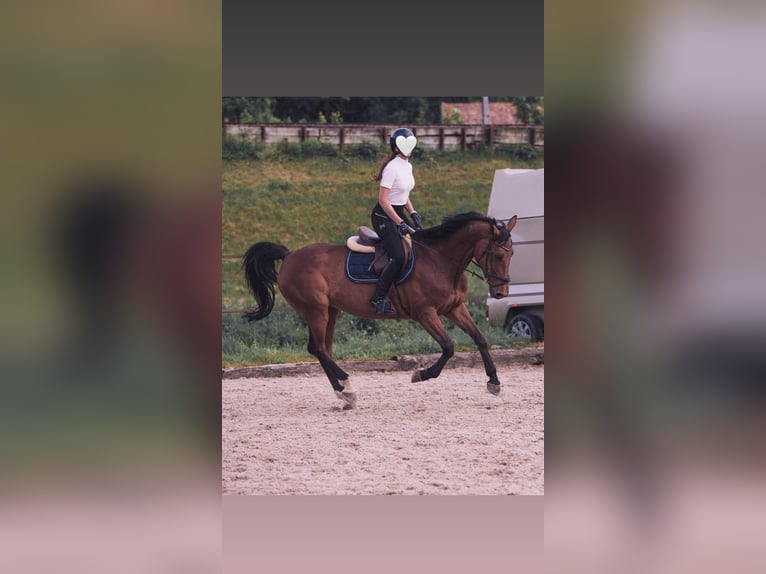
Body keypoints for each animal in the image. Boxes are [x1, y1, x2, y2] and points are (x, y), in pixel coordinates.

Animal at [242, 211, 518, 409]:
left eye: (512, 253)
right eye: (497, 254)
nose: (500, 293)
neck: (441, 260)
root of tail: (289, 256)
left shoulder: (454, 308)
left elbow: (480, 338)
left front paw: (494, 382)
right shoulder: (425, 313)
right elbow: (449, 347)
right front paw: (422, 374)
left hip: (331, 311)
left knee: (323, 350)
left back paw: (344, 393)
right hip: (315, 311)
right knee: (317, 348)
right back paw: (347, 386)